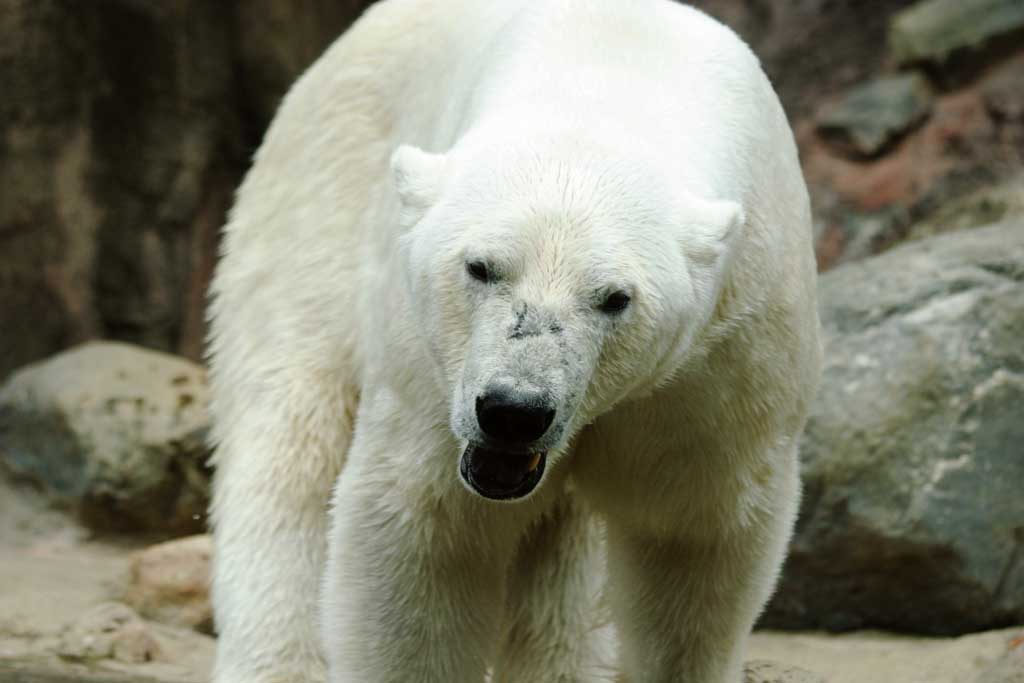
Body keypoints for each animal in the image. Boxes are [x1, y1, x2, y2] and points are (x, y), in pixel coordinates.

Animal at [207, 0, 823, 679]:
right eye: (480, 267)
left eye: (615, 298)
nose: (514, 411)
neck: (608, 83)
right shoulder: (432, 368)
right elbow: (424, 538)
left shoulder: (720, 361)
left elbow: (692, 539)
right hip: (317, 206)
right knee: (291, 435)